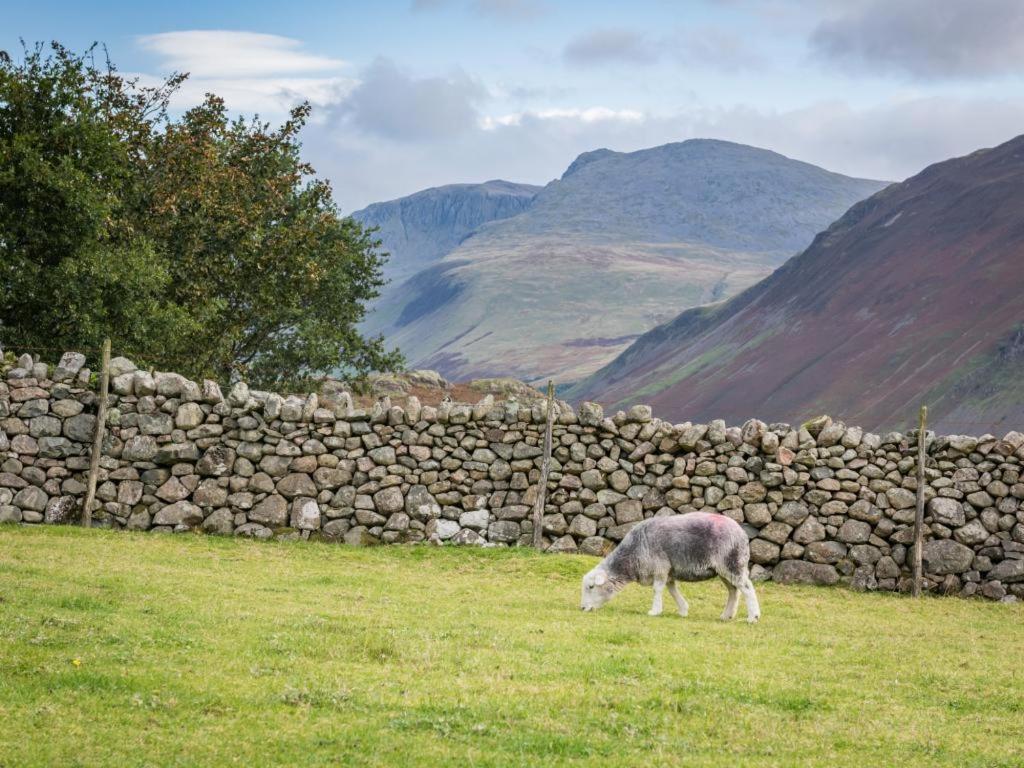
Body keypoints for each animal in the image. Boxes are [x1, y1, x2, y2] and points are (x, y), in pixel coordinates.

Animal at [577, 514, 761, 622]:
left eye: (591, 587)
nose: (582, 608)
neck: (632, 555)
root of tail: (741, 533)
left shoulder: (660, 566)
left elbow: (657, 589)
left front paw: (655, 611)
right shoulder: (669, 570)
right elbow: (672, 590)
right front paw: (683, 610)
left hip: (732, 562)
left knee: (746, 588)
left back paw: (753, 616)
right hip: (723, 569)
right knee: (733, 591)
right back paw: (726, 615)